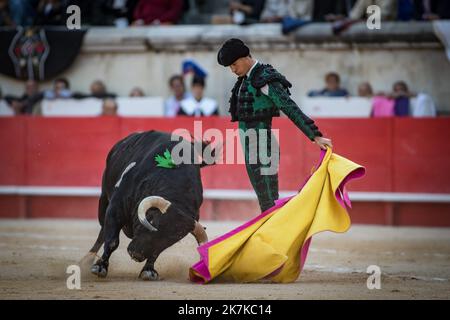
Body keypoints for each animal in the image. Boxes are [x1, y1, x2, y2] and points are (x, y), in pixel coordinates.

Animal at [81, 130, 212, 280]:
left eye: (172, 239)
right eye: (151, 220)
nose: (136, 254)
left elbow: (155, 253)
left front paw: (148, 271)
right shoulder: (116, 206)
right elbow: (112, 241)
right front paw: (100, 267)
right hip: (104, 198)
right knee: (103, 231)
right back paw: (87, 260)